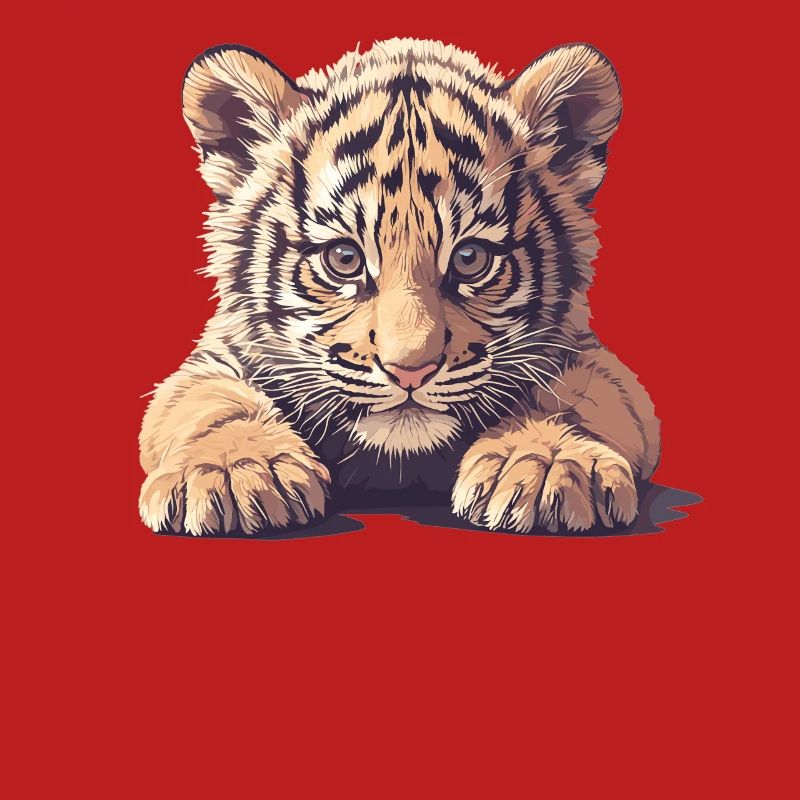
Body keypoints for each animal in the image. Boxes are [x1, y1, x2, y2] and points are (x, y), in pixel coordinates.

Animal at [138, 38, 660, 536]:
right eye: (344, 259)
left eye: (470, 259)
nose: (411, 371)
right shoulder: (216, 356)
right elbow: (212, 401)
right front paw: (233, 469)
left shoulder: (587, 353)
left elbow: (574, 396)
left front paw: (548, 463)